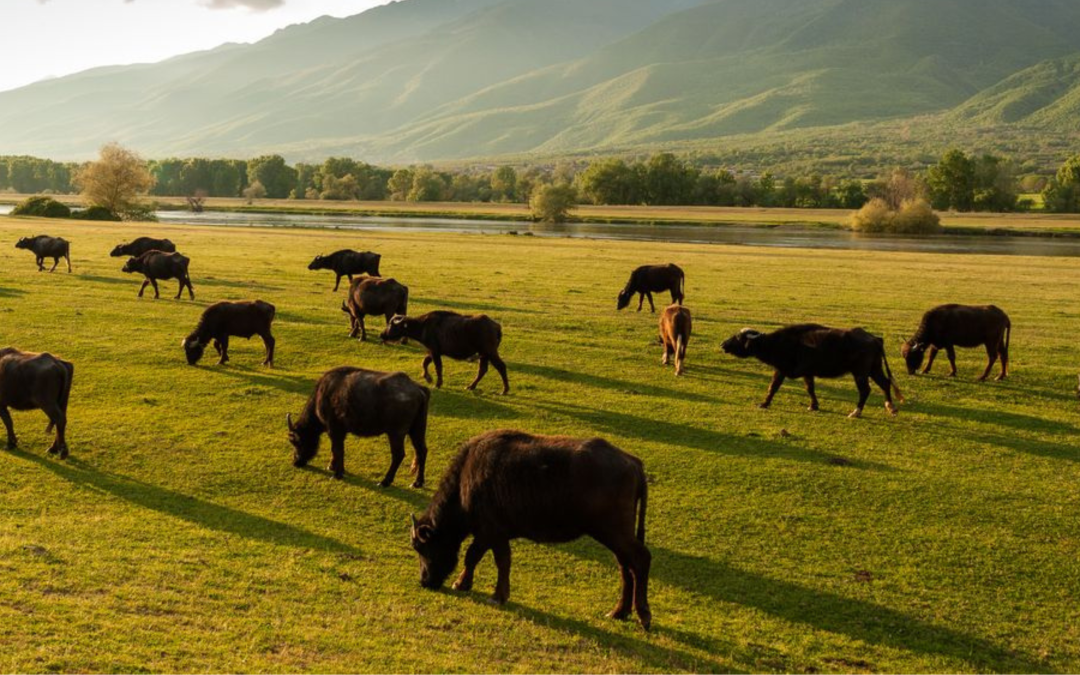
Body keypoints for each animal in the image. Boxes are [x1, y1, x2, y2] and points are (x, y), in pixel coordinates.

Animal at [291, 365, 434, 486]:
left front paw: (337, 473)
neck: (322, 394)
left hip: (396, 433)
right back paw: (418, 482)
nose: (295, 462)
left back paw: (385, 481)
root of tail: (419, 389)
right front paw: (332, 466)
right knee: (422, 450)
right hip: (417, 429)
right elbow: (336, 450)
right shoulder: (340, 432)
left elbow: (337, 450)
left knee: (398, 454)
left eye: (297, 442)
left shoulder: (334, 430)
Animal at [410, 429, 648, 630]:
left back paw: (643, 616)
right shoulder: (492, 535)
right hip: (616, 536)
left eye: (423, 548)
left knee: (640, 559)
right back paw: (619, 612)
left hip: (614, 532)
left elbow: (482, 558)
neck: (465, 481)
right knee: (625, 567)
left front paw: (488, 592)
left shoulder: (491, 533)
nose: (424, 581)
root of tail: (634, 463)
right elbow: (491, 559)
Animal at [725, 326, 902, 419]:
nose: (723, 344)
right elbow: (810, 388)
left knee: (865, 390)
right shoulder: (807, 373)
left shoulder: (781, 370)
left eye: (738, 338)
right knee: (885, 383)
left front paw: (764, 404)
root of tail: (875, 339)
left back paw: (856, 412)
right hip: (874, 369)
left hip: (860, 373)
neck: (779, 343)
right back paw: (891, 407)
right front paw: (814, 405)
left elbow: (773, 387)